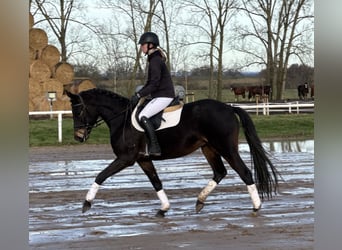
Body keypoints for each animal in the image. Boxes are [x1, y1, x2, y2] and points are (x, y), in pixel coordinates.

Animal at [65, 89, 280, 217]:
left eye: (78, 111)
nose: (78, 136)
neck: (121, 119)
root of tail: (229, 107)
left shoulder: (126, 158)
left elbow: (101, 176)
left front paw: (86, 203)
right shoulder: (143, 159)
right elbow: (156, 182)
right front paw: (164, 208)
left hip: (226, 148)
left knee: (244, 172)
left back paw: (256, 206)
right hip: (208, 148)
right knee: (220, 172)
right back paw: (200, 201)